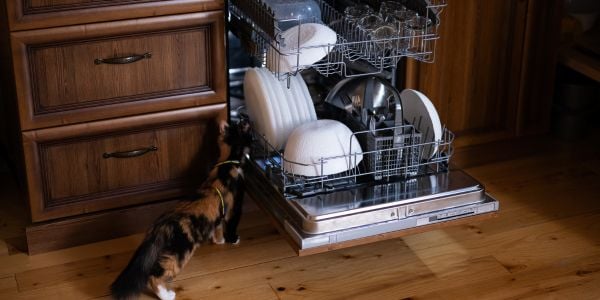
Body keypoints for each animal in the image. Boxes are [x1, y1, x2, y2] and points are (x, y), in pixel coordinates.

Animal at [110, 119, 251, 300]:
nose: (246, 121)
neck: (227, 163)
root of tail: (160, 225)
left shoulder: (220, 213)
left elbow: (217, 227)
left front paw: (218, 240)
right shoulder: (235, 206)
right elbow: (232, 223)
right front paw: (233, 239)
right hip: (179, 252)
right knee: (154, 276)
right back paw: (166, 295)